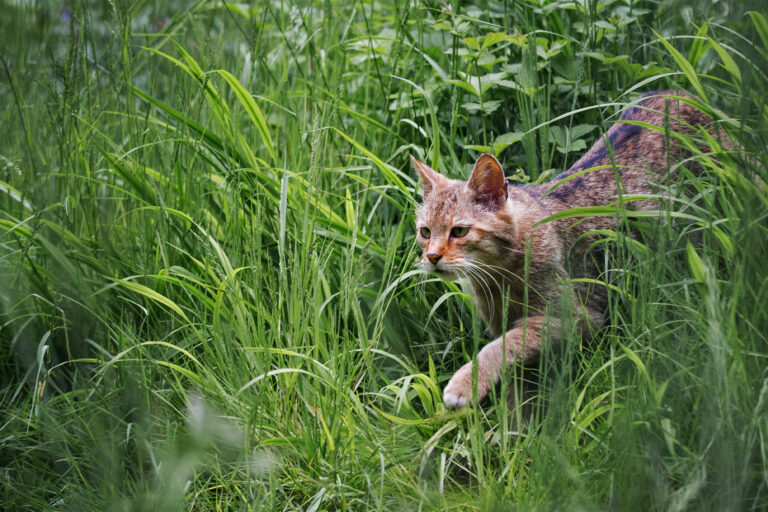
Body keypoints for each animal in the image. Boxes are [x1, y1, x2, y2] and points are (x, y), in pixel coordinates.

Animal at [414, 89, 732, 408]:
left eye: (459, 231)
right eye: (425, 232)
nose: (432, 256)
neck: (499, 277)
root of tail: (676, 91)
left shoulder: (579, 318)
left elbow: (504, 344)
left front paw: (465, 384)